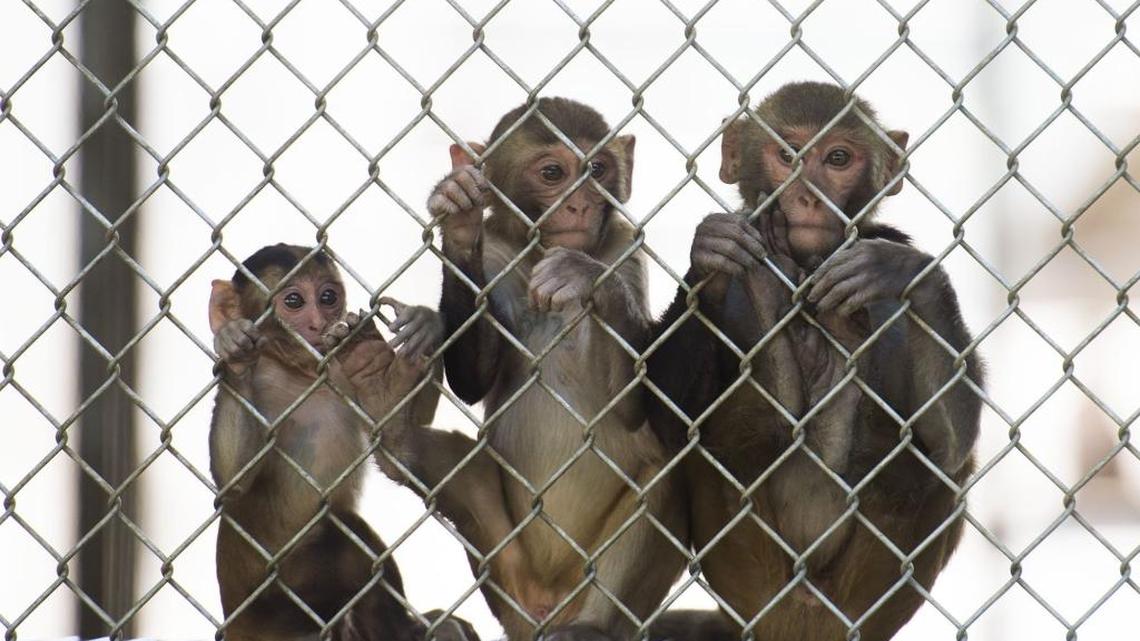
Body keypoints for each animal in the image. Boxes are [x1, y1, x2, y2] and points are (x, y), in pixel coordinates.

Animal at [208, 243, 477, 641]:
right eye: (293, 301)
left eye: (327, 297)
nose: (318, 323)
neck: (301, 373)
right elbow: (234, 482)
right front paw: (234, 351)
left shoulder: (334, 368)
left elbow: (412, 432)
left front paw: (422, 330)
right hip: (274, 614)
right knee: (338, 538)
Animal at [373, 98, 687, 641]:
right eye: (552, 173)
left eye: (596, 169)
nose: (581, 204)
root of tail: (546, 606)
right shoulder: (497, 255)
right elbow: (471, 380)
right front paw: (460, 216)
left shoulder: (625, 246)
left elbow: (634, 406)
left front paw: (584, 277)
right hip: (502, 561)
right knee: (431, 460)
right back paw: (395, 423)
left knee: (664, 470)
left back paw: (592, 627)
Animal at [645, 82, 984, 641]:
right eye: (788, 156)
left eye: (838, 159)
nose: (807, 196)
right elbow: (660, 425)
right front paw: (711, 257)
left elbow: (948, 446)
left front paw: (905, 272)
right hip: (749, 576)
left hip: (862, 599)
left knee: (924, 466)